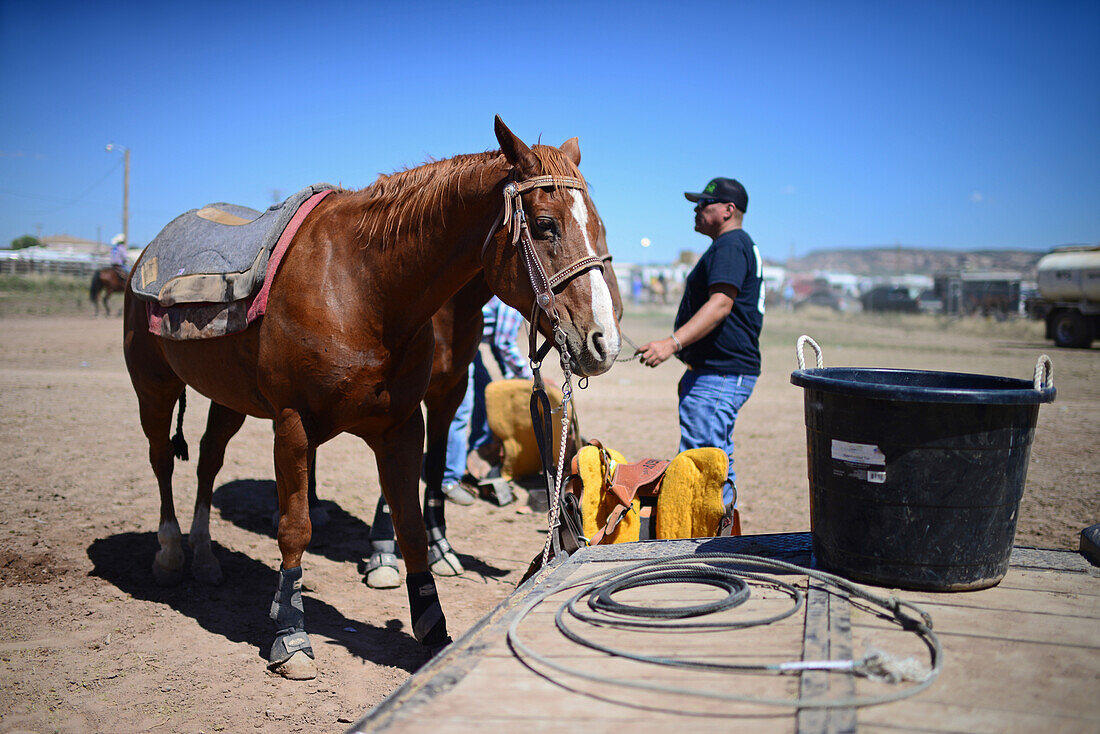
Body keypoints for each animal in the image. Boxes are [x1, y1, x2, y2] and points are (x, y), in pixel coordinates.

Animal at [124, 117, 624, 682]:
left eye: (598, 225)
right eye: (544, 225)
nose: (604, 340)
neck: (360, 287)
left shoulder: (405, 422)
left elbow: (412, 522)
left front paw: (430, 619)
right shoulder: (293, 423)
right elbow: (295, 527)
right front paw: (291, 635)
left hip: (228, 397)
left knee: (209, 460)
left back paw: (206, 557)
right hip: (154, 387)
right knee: (163, 460)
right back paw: (170, 553)